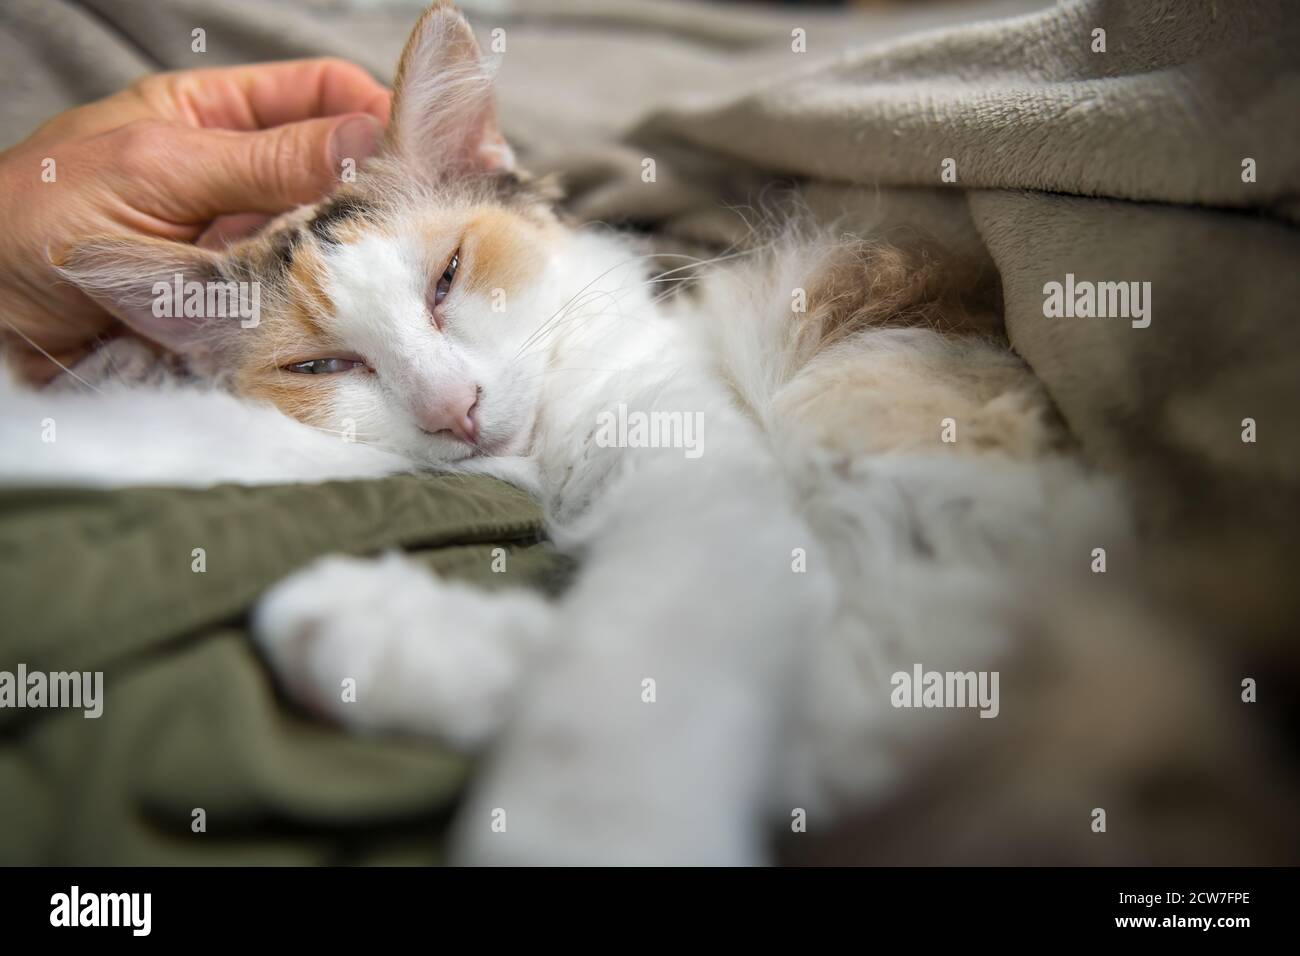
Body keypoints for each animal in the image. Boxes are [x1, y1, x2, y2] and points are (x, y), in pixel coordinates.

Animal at [32, 1, 1128, 868]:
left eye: (447, 277)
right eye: (322, 368)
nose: (453, 406)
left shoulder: (711, 491)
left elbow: (618, 695)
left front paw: (588, 829)